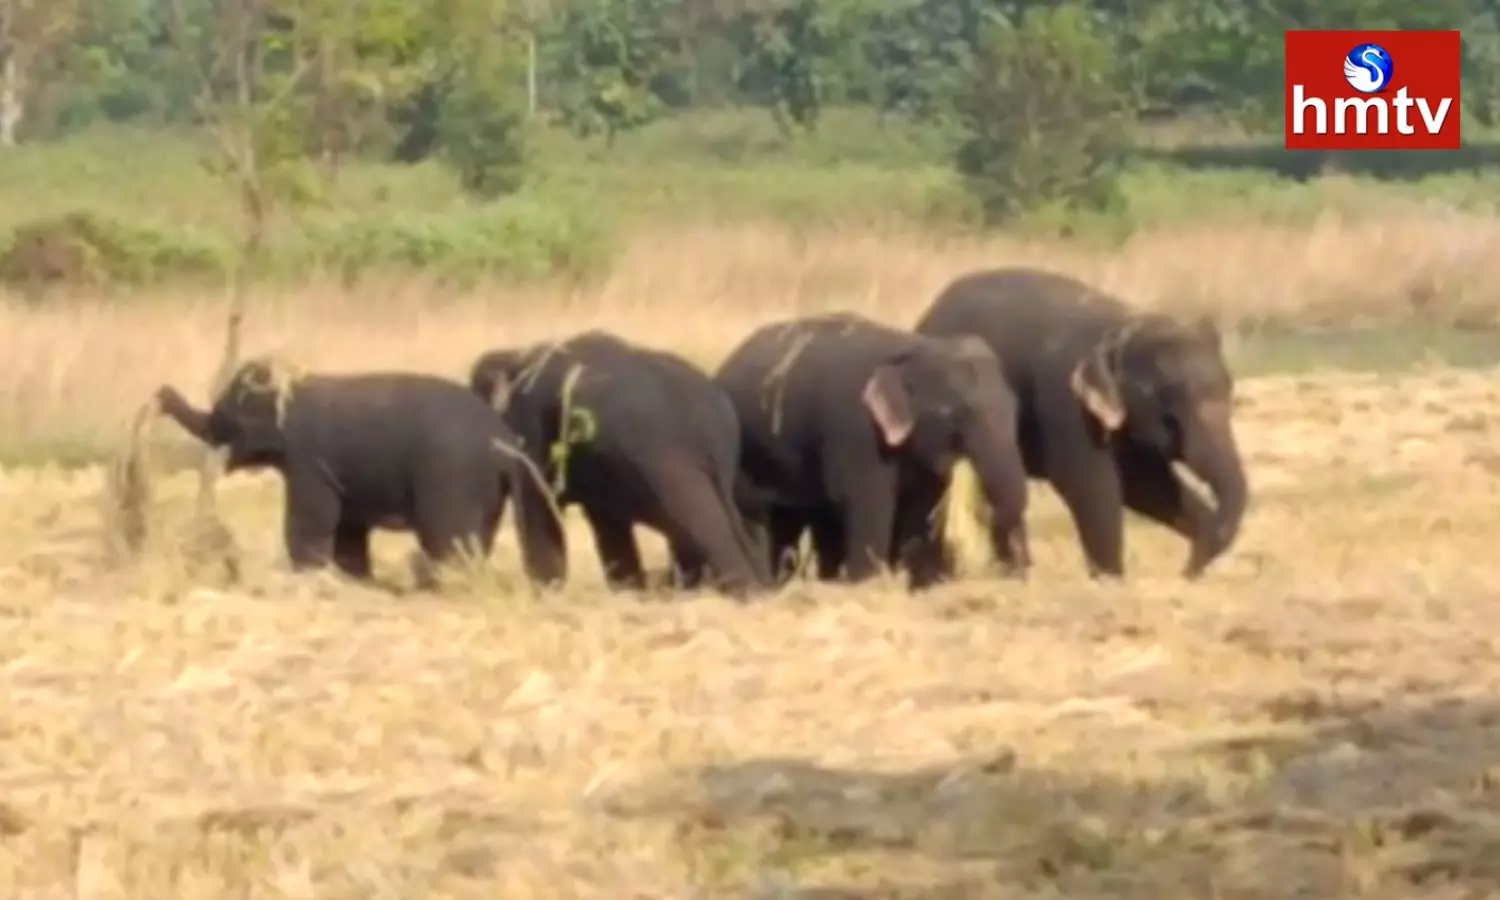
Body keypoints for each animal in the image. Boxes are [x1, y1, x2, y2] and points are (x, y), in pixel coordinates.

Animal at [152, 359, 553, 585]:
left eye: (224, 418)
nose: (160, 394)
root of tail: (506, 440)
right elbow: (348, 527)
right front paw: (354, 578)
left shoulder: (308, 457)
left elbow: (313, 519)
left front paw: (308, 575)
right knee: (477, 538)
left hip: (452, 476)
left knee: (448, 541)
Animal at [467, 330, 775, 599]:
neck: (519, 355)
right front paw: (629, 592)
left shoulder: (533, 426)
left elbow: (540, 505)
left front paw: (548, 596)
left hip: (663, 458)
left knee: (701, 522)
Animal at [714, 313, 1030, 590]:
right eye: (950, 414)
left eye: (1014, 407)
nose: (1015, 575)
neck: (913, 349)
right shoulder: (856, 431)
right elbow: (870, 503)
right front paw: (866, 585)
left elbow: (923, 507)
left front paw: (925, 587)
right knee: (759, 519)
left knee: (789, 520)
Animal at [912, 266, 1250, 579]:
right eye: (1167, 401)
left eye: (1230, 391)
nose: (1186, 571)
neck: (1123, 323)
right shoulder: (1066, 402)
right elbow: (1090, 485)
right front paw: (1110, 582)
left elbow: (1146, 484)